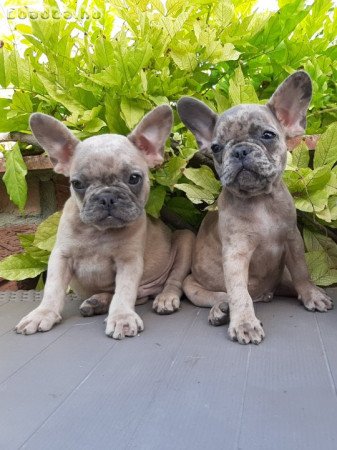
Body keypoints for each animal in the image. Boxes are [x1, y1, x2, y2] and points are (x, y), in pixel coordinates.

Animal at [15, 104, 194, 338]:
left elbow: (124, 291)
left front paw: (122, 317)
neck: (97, 232)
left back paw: (165, 298)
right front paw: (42, 313)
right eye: (77, 183)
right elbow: (53, 289)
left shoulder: (128, 261)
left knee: (173, 281)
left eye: (134, 178)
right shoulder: (60, 257)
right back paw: (97, 302)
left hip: (185, 240)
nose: (106, 196)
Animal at [177, 71, 332, 344]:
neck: (260, 201)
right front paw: (245, 323)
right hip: (193, 286)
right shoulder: (236, 253)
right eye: (216, 147)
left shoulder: (292, 240)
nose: (240, 150)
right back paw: (221, 311)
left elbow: (302, 271)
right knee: (224, 296)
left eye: (267, 135)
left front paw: (312, 294)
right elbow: (239, 292)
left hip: (281, 277)